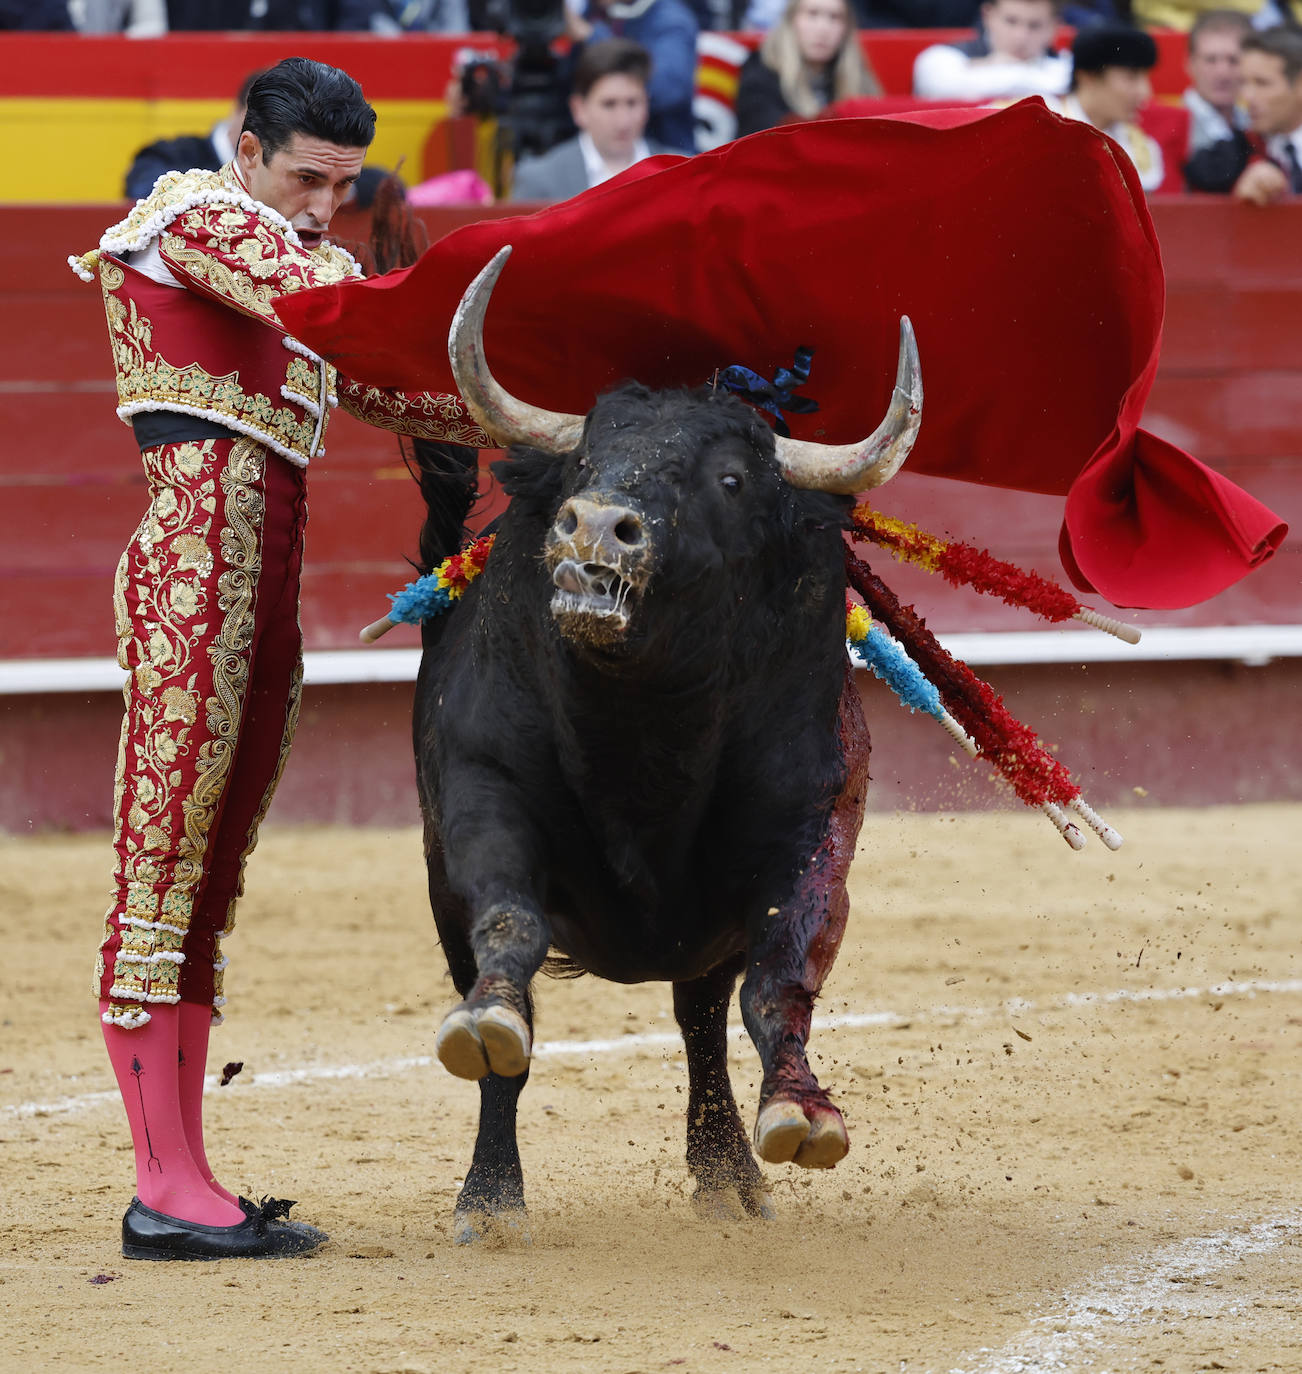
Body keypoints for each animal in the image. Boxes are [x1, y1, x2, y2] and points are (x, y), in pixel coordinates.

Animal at [412, 250, 922, 1247]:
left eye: (728, 480)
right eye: (586, 455)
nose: (592, 524)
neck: (643, 725)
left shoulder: (811, 832)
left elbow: (779, 981)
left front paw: (802, 1112)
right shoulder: (484, 797)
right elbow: (509, 931)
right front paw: (488, 1025)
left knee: (700, 1022)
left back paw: (729, 1178)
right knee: (518, 1042)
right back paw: (489, 1199)